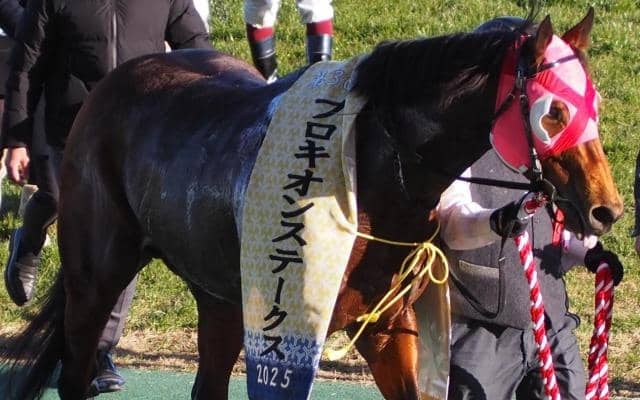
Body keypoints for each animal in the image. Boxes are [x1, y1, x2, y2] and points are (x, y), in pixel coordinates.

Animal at [1, 6, 623, 400]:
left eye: (592, 102)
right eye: (553, 112)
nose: (606, 209)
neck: (374, 164)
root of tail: (112, 82)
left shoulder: (387, 325)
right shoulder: (292, 329)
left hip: (221, 296)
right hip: (96, 275)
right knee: (77, 369)